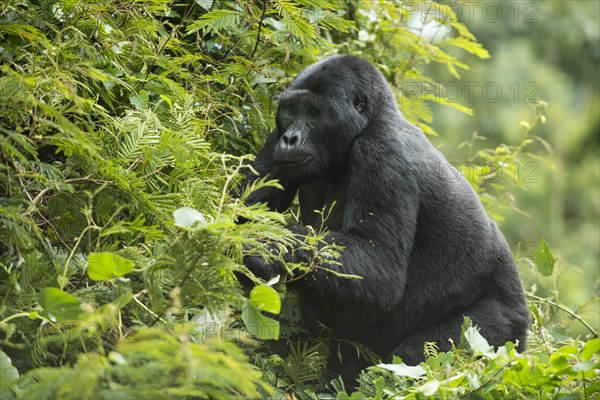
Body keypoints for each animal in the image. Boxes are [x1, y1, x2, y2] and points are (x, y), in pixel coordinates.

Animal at [240, 54, 528, 382]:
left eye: (313, 113)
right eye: (290, 111)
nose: (290, 138)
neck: (369, 122)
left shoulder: (381, 153)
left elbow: (381, 270)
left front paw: (270, 246)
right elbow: (243, 209)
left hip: (502, 331)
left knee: (423, 352)